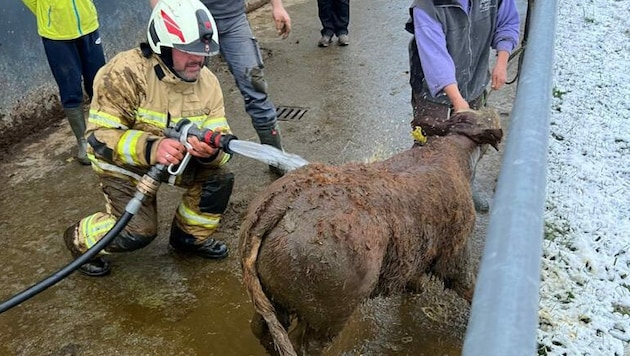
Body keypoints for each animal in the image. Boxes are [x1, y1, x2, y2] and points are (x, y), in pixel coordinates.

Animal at [239, 108, 506, 356]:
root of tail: (280, 203)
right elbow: (467, 284)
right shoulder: (456, 248)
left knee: (262, 329)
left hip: (273, 292)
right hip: (327, 308)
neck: (454, 151)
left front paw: (415, 288)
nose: (491, 109)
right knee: (303, 344)